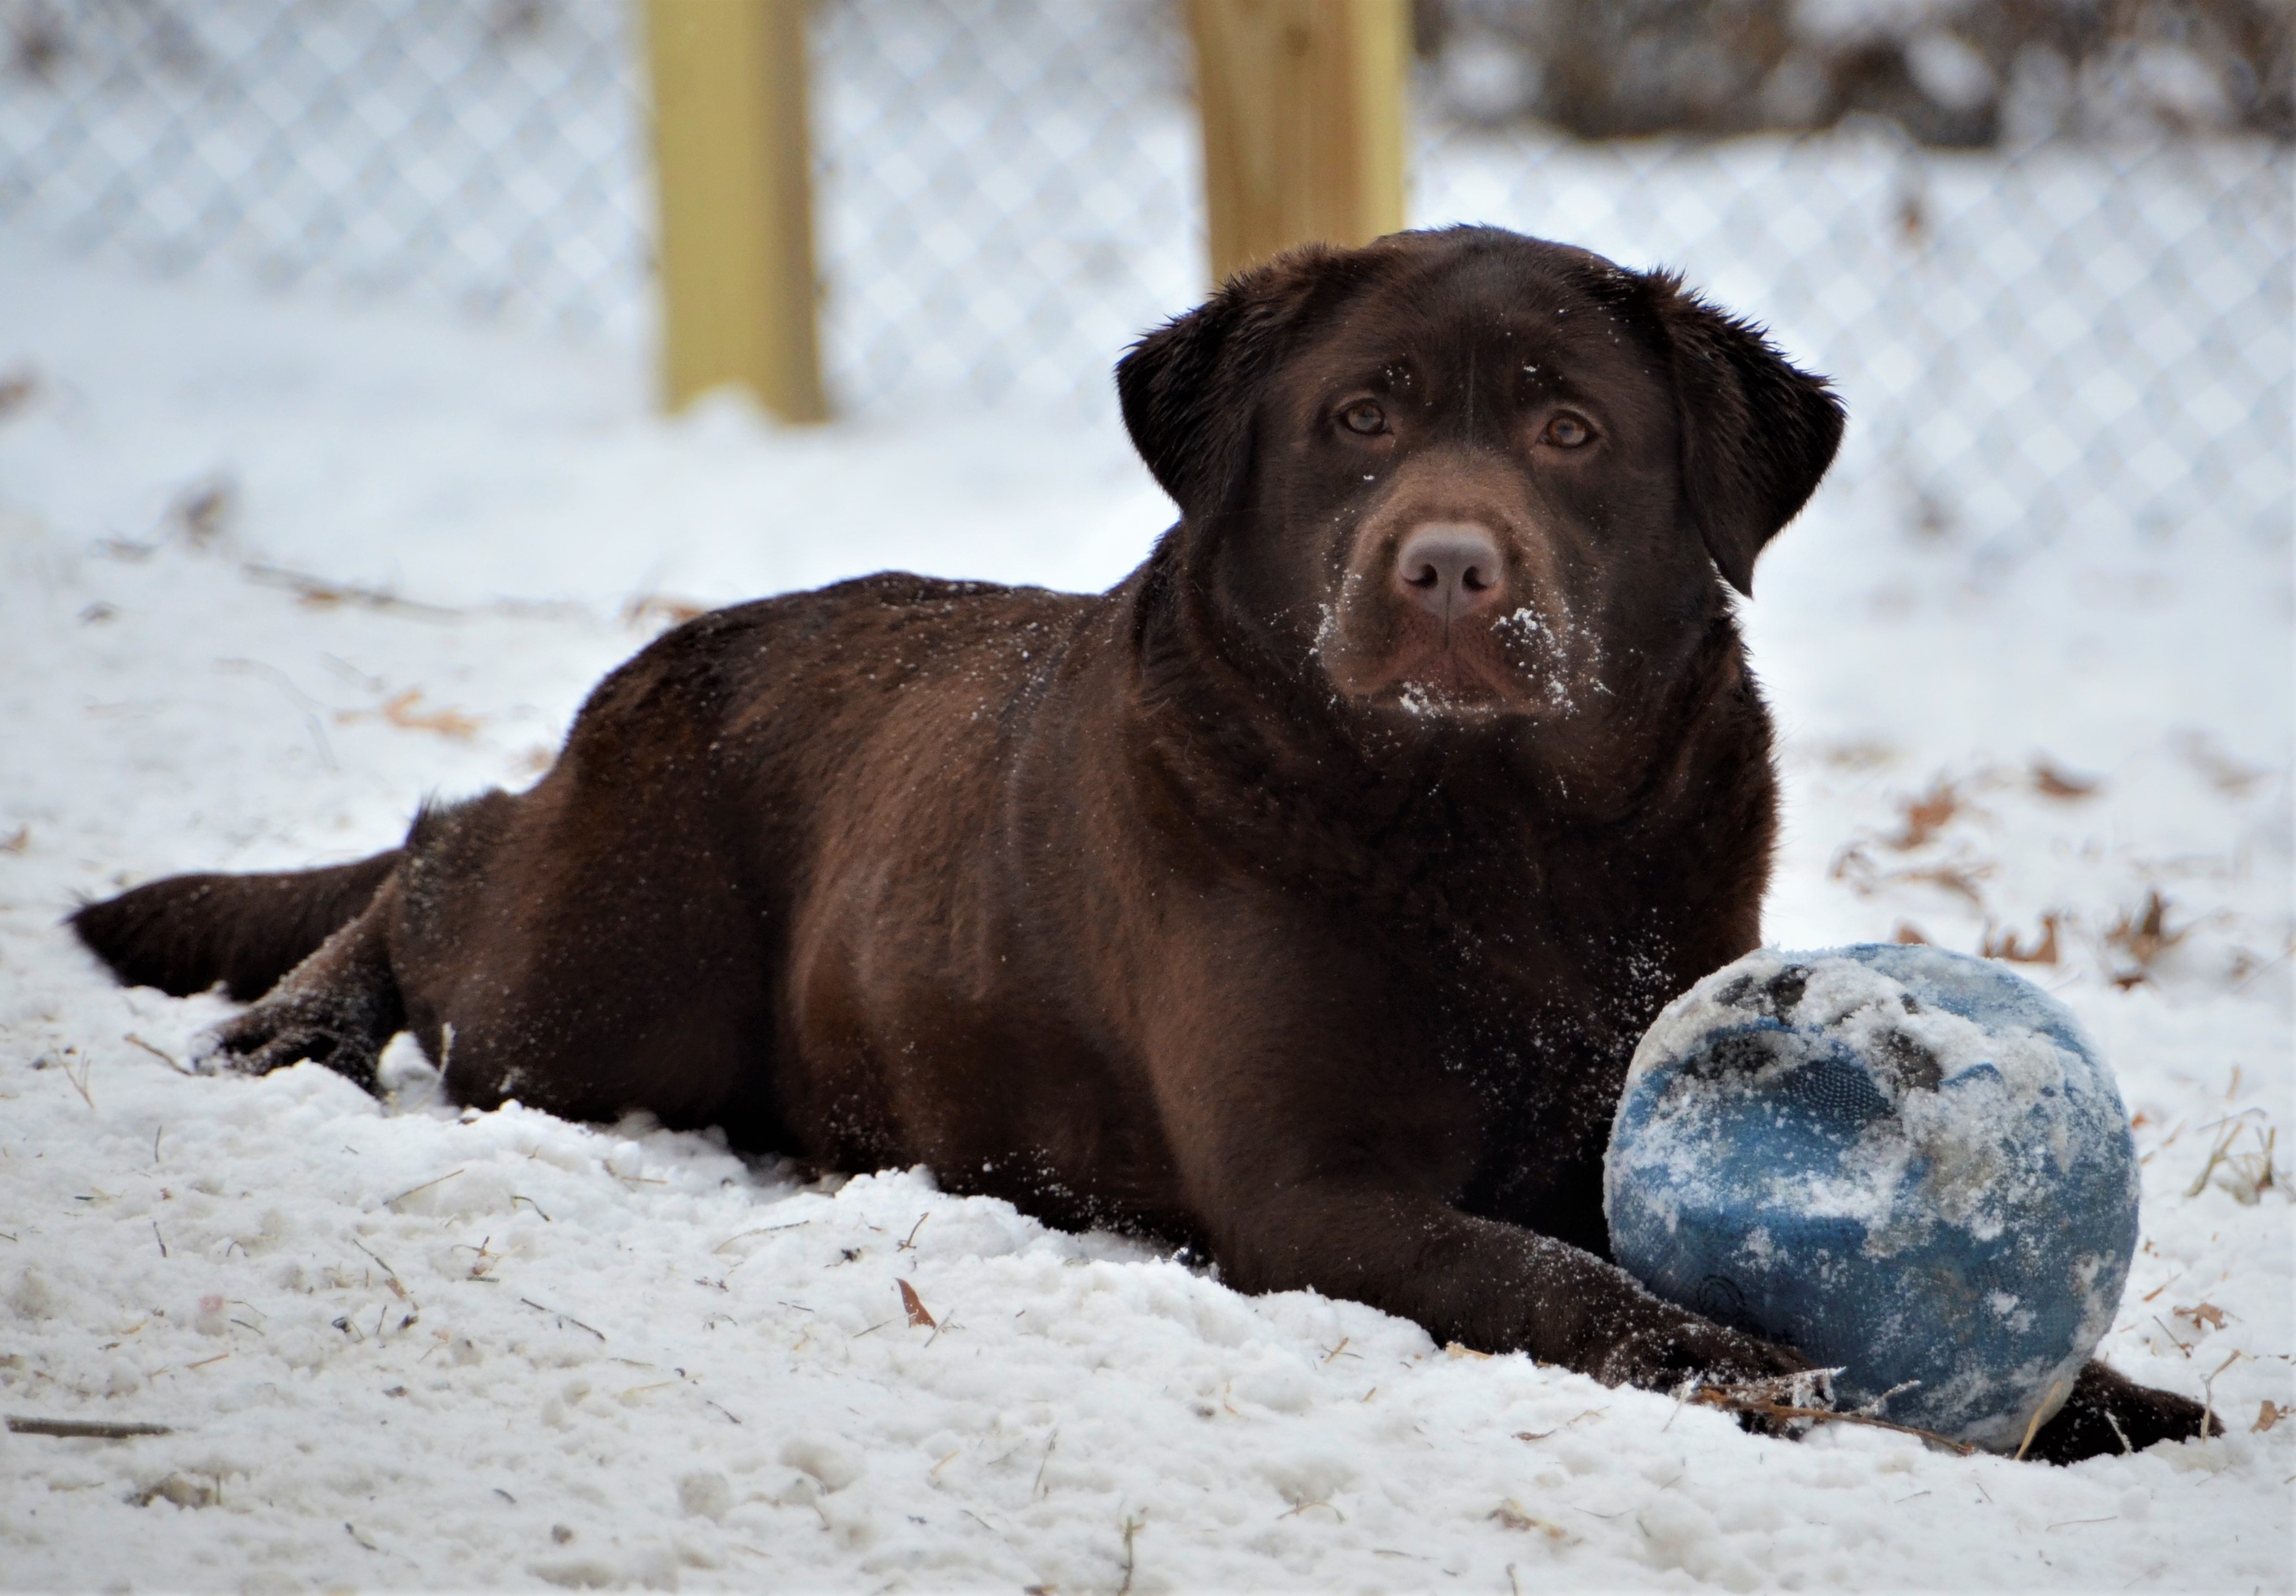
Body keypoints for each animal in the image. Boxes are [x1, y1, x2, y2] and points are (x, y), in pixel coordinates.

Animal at [71, 225, 2204, 1460]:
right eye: (1358, 418)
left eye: (1571, 433)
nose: (1448, 566)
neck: (1496, 841)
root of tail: (675, 647)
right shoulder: (1310, 1191)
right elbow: (1559, 1283)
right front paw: (1740, 1364)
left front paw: (2102, 1396)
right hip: (597, 994)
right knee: (443, 848)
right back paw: (290, 1021)